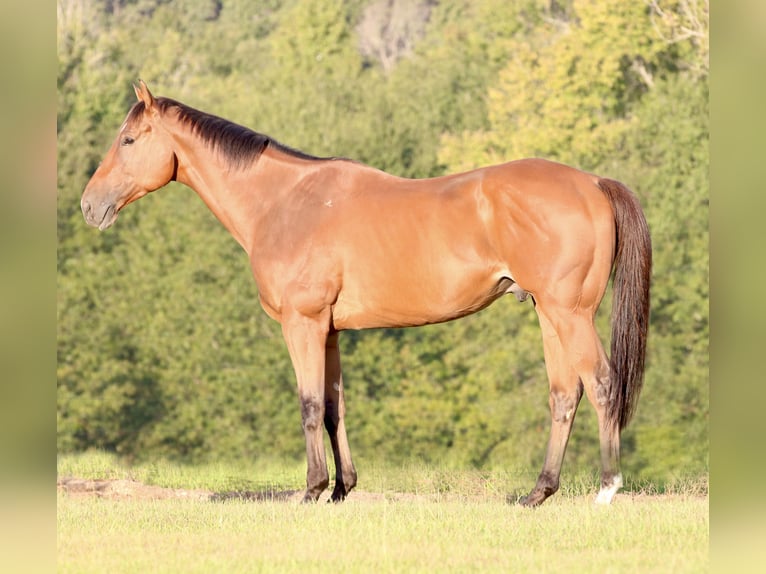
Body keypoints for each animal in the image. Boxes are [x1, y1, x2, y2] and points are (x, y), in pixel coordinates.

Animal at [81, 81, 651, 506]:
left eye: (128, 140)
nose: (90, 205)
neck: (283, 202)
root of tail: (593, 183)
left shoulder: (303, 323)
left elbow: (310, 402)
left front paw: (311, 490)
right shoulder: (329, 329)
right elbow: (335, 406)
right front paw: (342, 489)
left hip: (570, 314)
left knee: (602, 384)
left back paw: (607, 489)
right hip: (549, 315)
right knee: (564, 394)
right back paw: (538, 493)